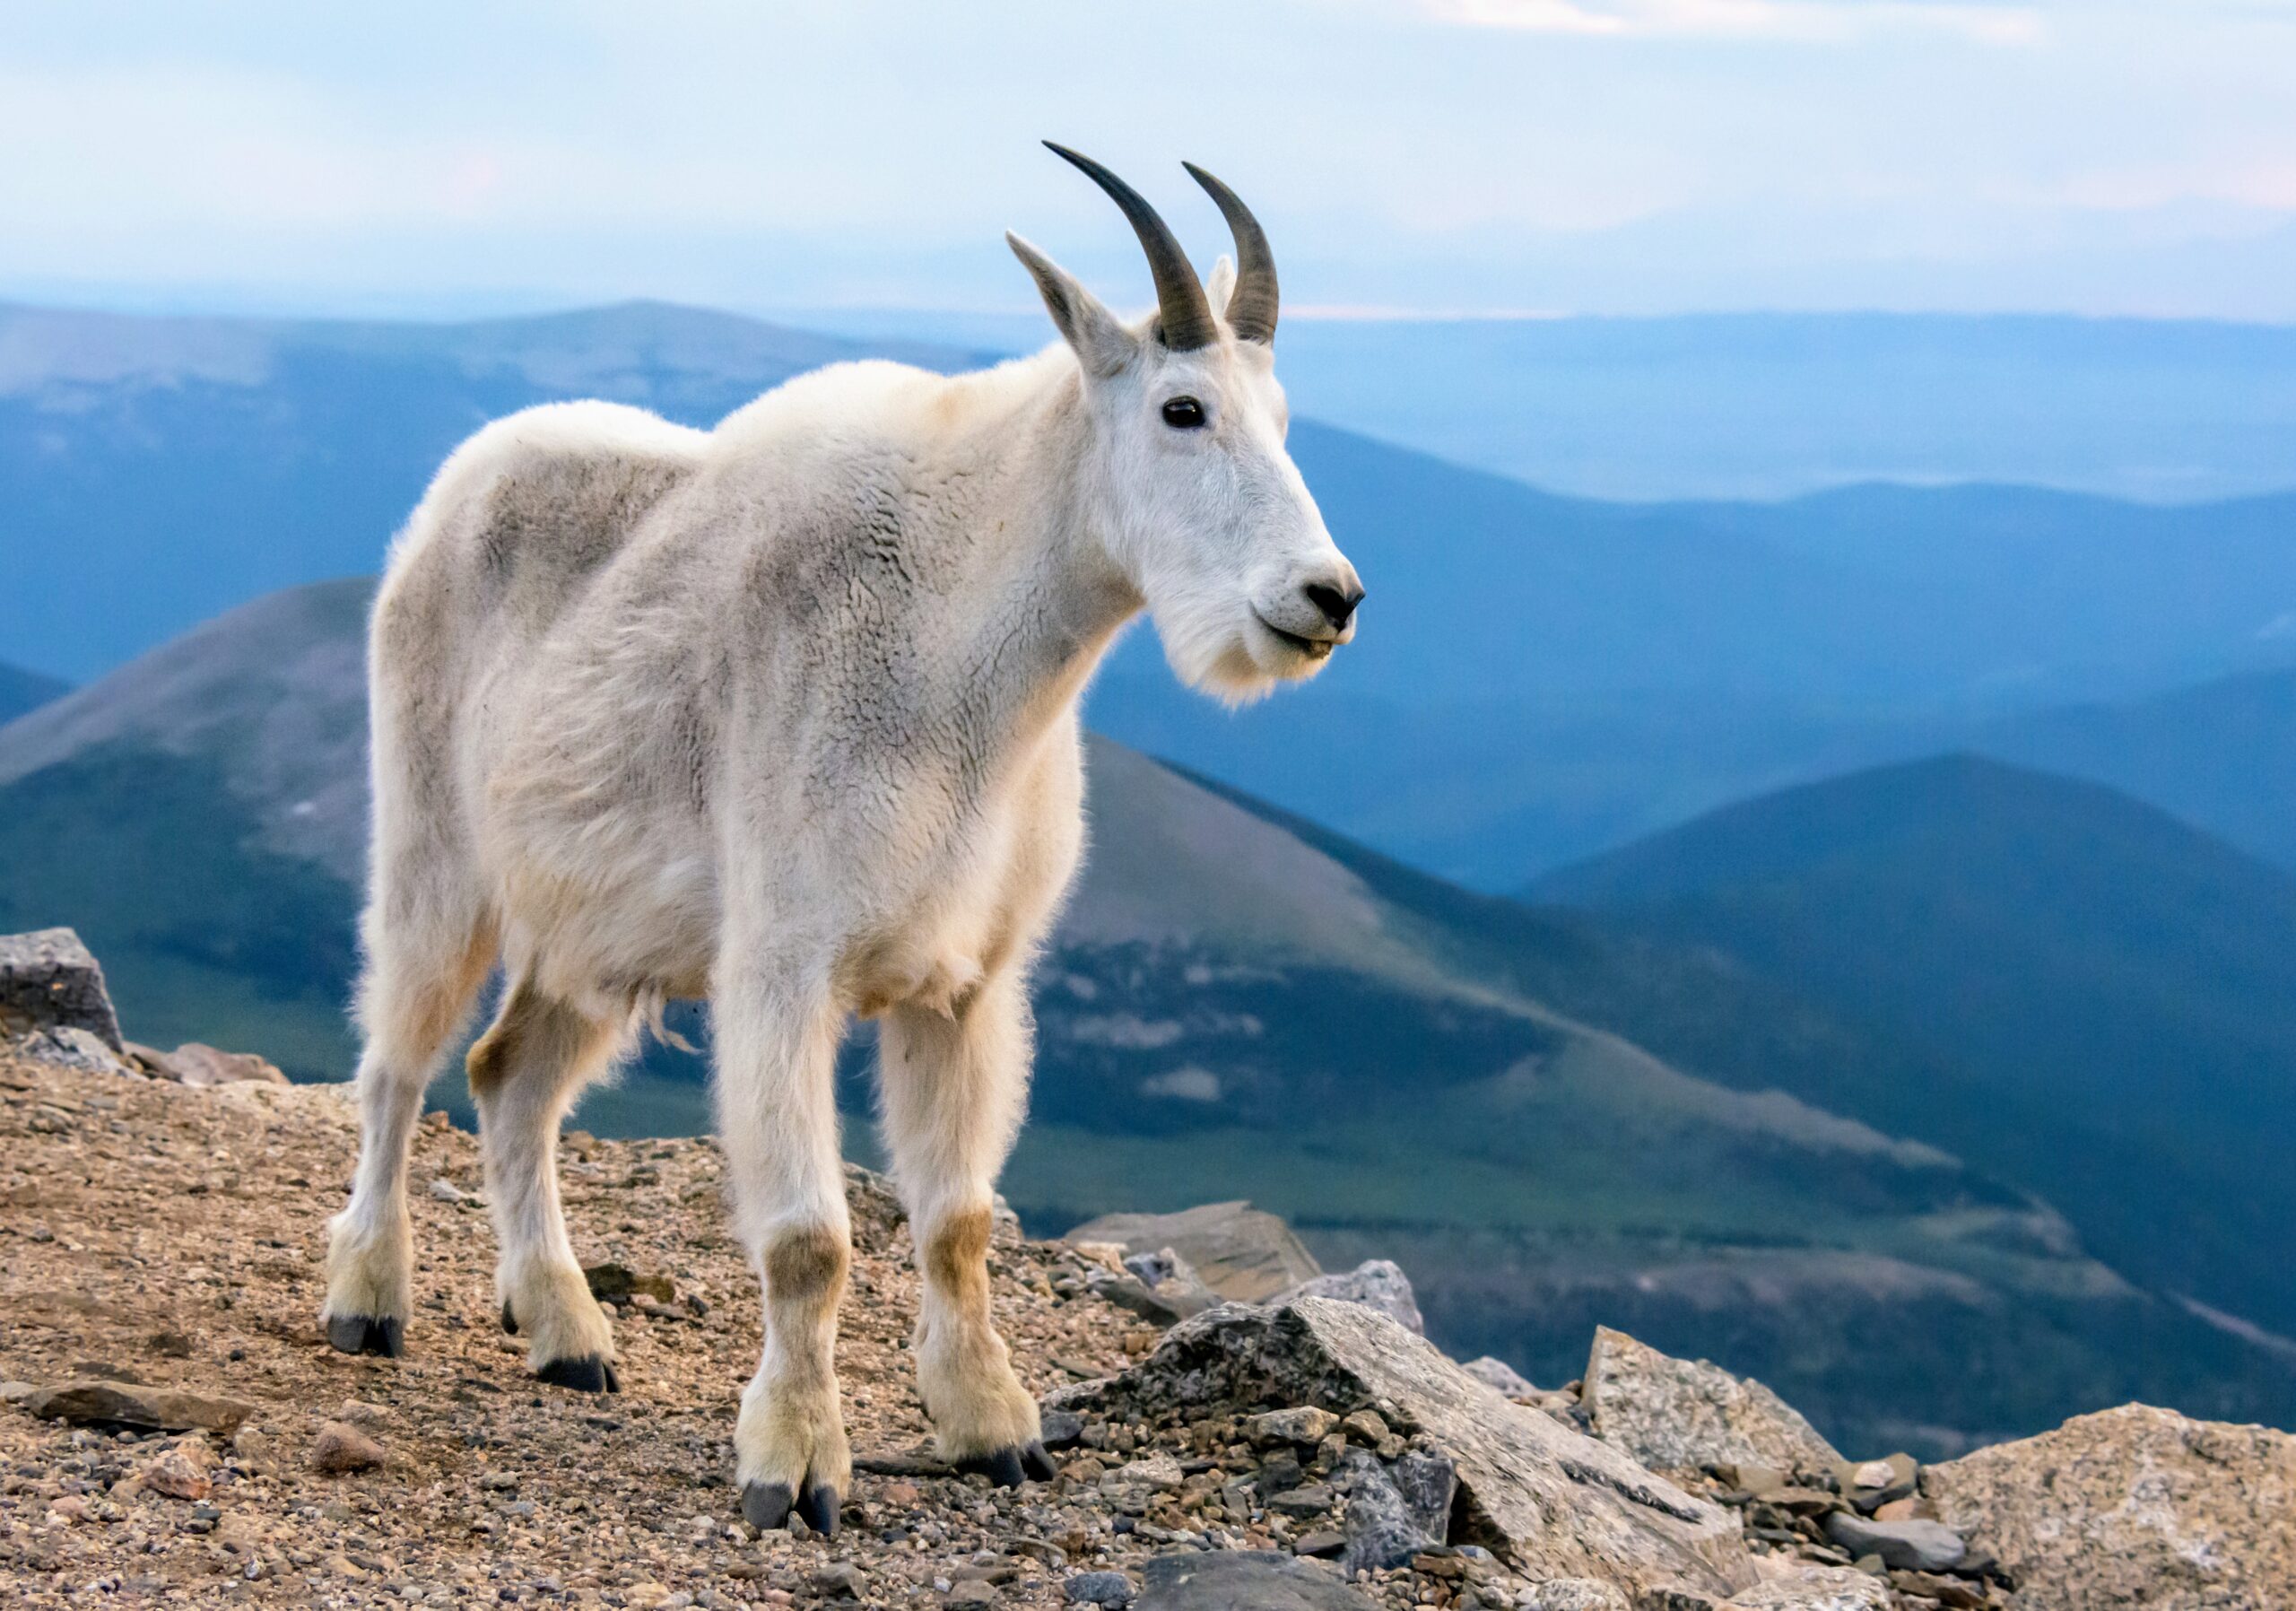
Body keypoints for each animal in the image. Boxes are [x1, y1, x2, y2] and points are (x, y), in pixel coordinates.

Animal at [319, 144, 1363, 1533]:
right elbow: (811, 1239)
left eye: (1285, 418)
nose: (1327, 598)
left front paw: (994, 1431)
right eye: (1182, 410)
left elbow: (958, 1221)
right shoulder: (784, 965)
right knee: (396, 1062)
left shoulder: (968, 983)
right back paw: (368, 1301)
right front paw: (796, 1464)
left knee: (509, 1076)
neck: (966, 664)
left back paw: (567, 1333)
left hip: (596, 928)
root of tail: (457, 486)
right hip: (436, 851)